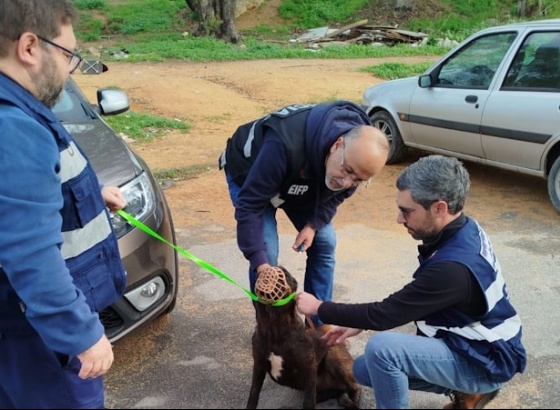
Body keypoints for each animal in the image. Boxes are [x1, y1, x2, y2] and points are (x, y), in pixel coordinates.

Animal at [246, 264, 364, 408]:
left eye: (285, 273)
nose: (266, 268)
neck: (274, 325)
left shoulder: (309, 370)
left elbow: (308, 402)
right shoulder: (258, 364)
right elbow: (253, 394)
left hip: (334, 357)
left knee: (355, 386)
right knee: (340, 394)